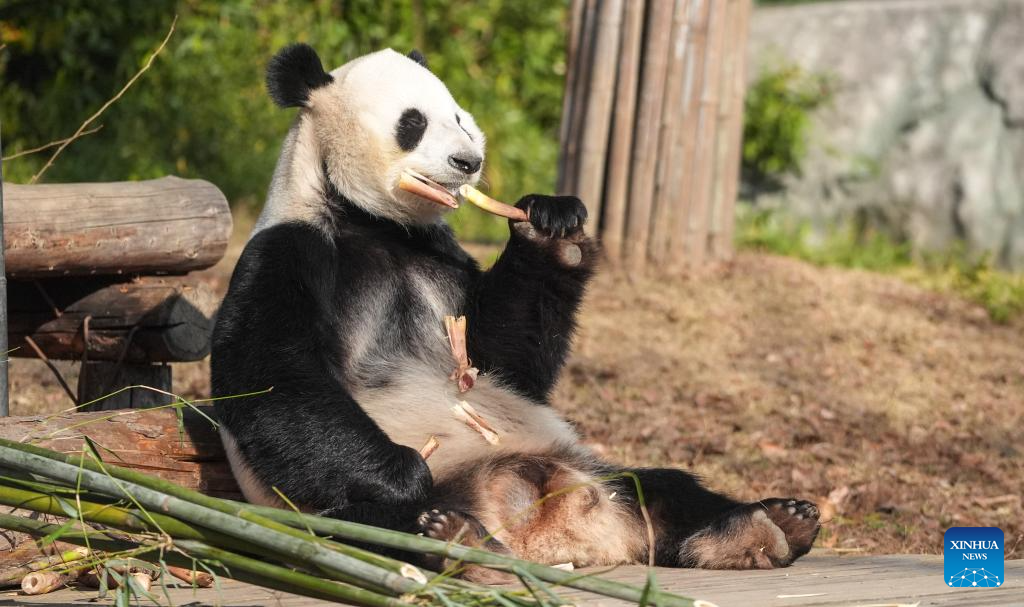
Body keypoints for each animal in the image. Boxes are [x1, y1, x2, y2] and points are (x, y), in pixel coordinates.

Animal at [211, 43, 820, 580]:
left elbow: (504, 361)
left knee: (663, 489)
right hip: (320, 511)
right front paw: (402, 472)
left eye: (460, 117)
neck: (373, 223)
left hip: (588, 466)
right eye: (414, 123)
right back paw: (455, 538)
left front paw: (553, 230)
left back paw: (768, 528)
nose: (468, 161)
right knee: (371, 524)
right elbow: (271, 377)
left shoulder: (439, 256)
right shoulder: (290, 250)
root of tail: (540, 530)